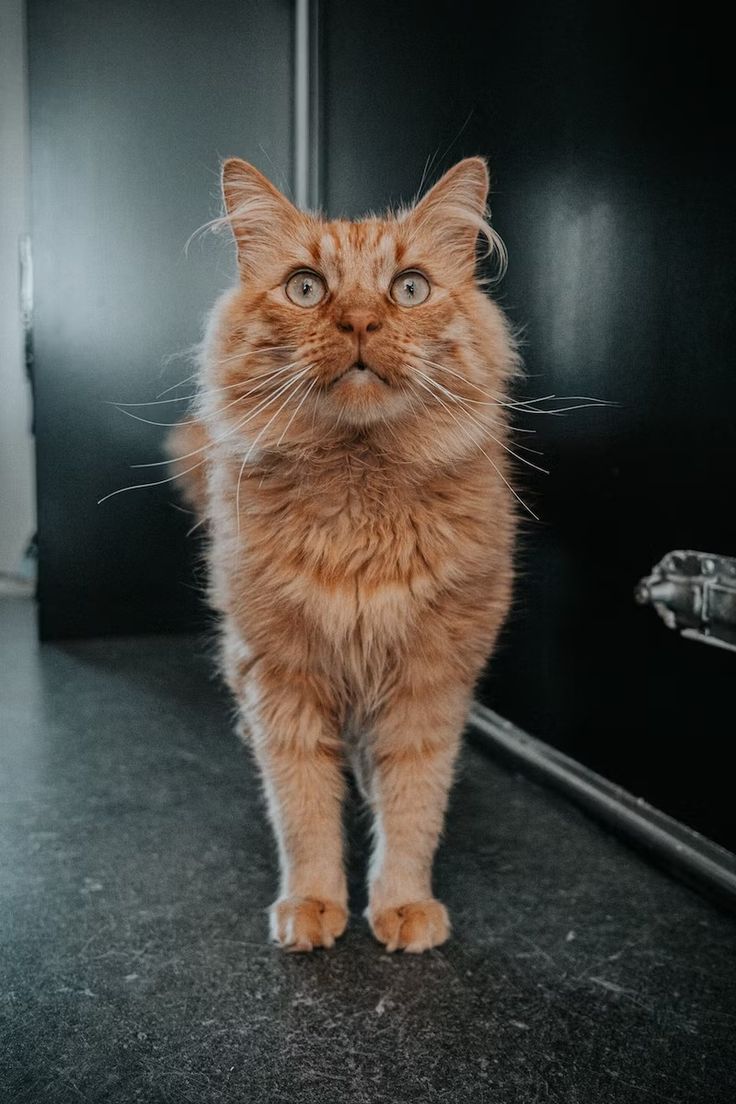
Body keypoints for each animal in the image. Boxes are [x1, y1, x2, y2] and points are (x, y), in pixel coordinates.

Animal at [171, 160, 518, 953]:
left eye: (410, 288)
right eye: (306, 288)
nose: (360, 321)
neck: (361, 504)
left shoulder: (430, 682)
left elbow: (414, 806)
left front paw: (404, 904)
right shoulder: (281, 679)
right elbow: (302, 809)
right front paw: (312, 903)